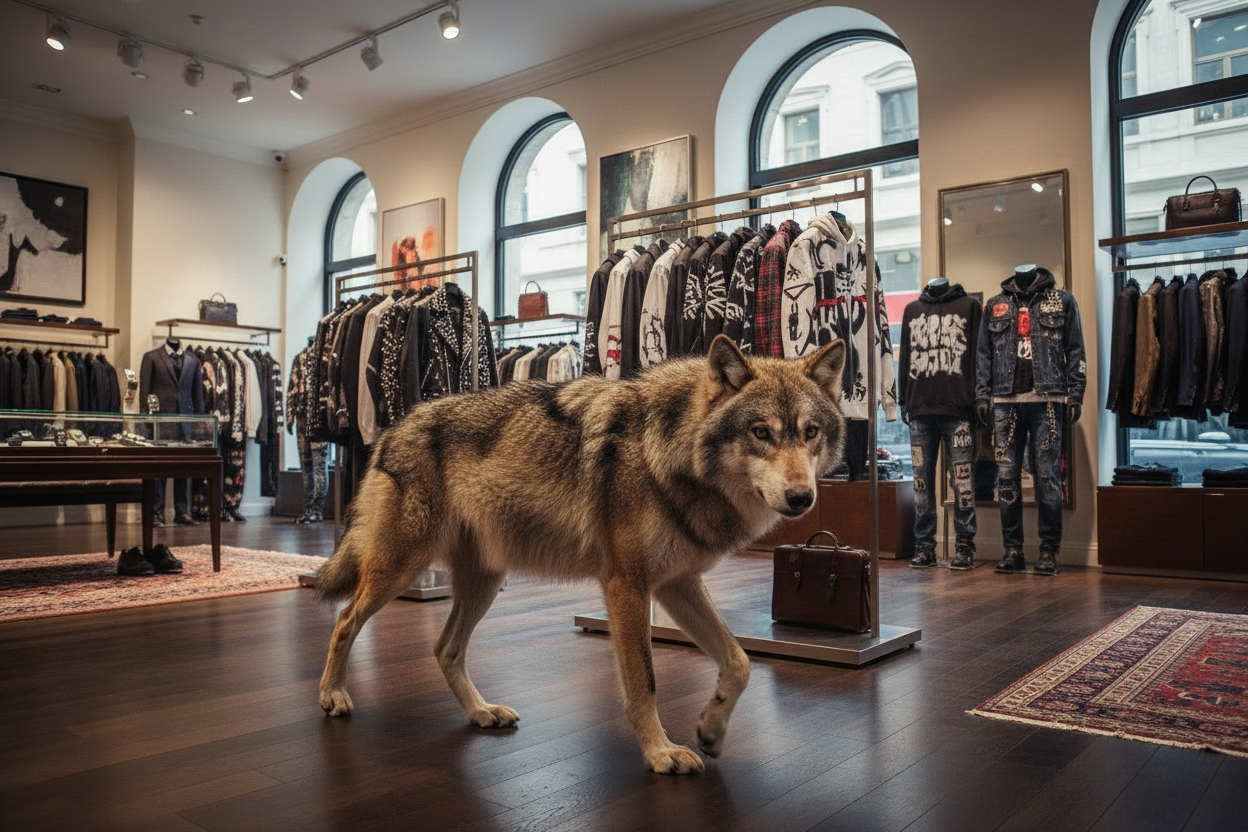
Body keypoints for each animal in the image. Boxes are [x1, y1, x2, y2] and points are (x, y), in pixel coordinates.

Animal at [315, 334, 847, 774]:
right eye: (761, 432)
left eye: (810, 432)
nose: (802, 498)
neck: (667, 454)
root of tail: (393, 427)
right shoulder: (627, 587)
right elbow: (645, 683)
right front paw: (661, 752)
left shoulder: (677, 585)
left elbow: (739, 662)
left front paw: (711, 730)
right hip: (402, 570)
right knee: (344, 620)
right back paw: (332, 695)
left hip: (484, 583)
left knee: (444, 648)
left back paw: (481, 712)